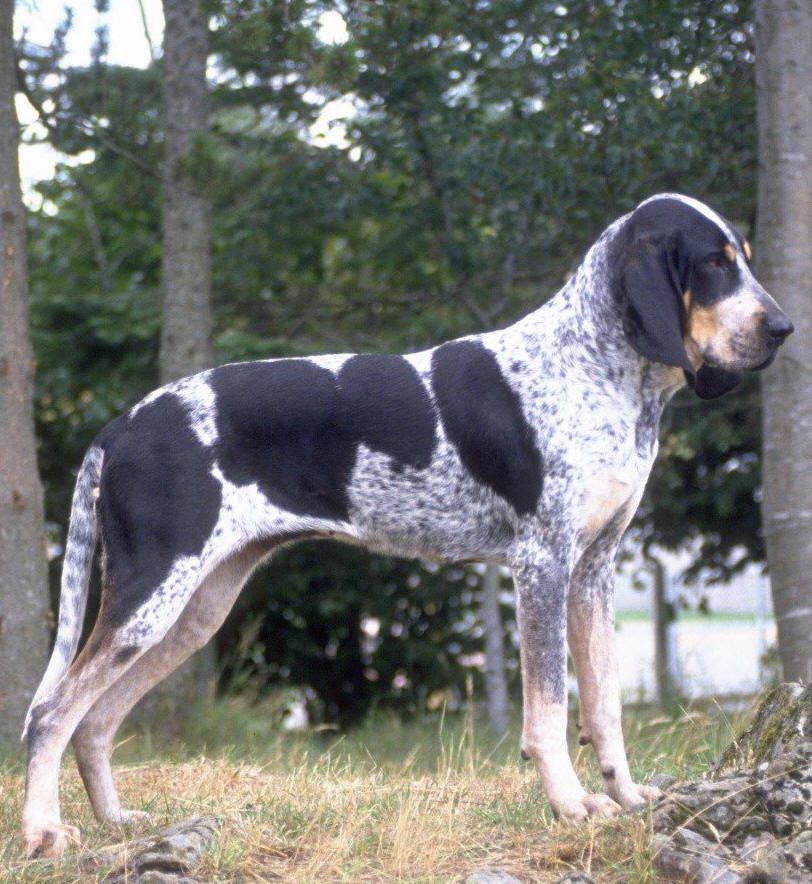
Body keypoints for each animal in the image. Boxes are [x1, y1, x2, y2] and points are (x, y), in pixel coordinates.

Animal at [20, 195, 792, 856]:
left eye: (746, 257)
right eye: (716, 262)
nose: (783, 329)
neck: (594, 364)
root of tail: (120, 425)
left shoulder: (593, 571)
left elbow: (603, 707)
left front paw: (628, 799)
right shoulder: (542, 565)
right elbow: (547, 709)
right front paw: (571, 806)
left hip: (194, 611)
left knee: (94, 721)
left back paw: (117, 821)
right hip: (151, 599)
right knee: (50, 712)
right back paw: (45, 833)